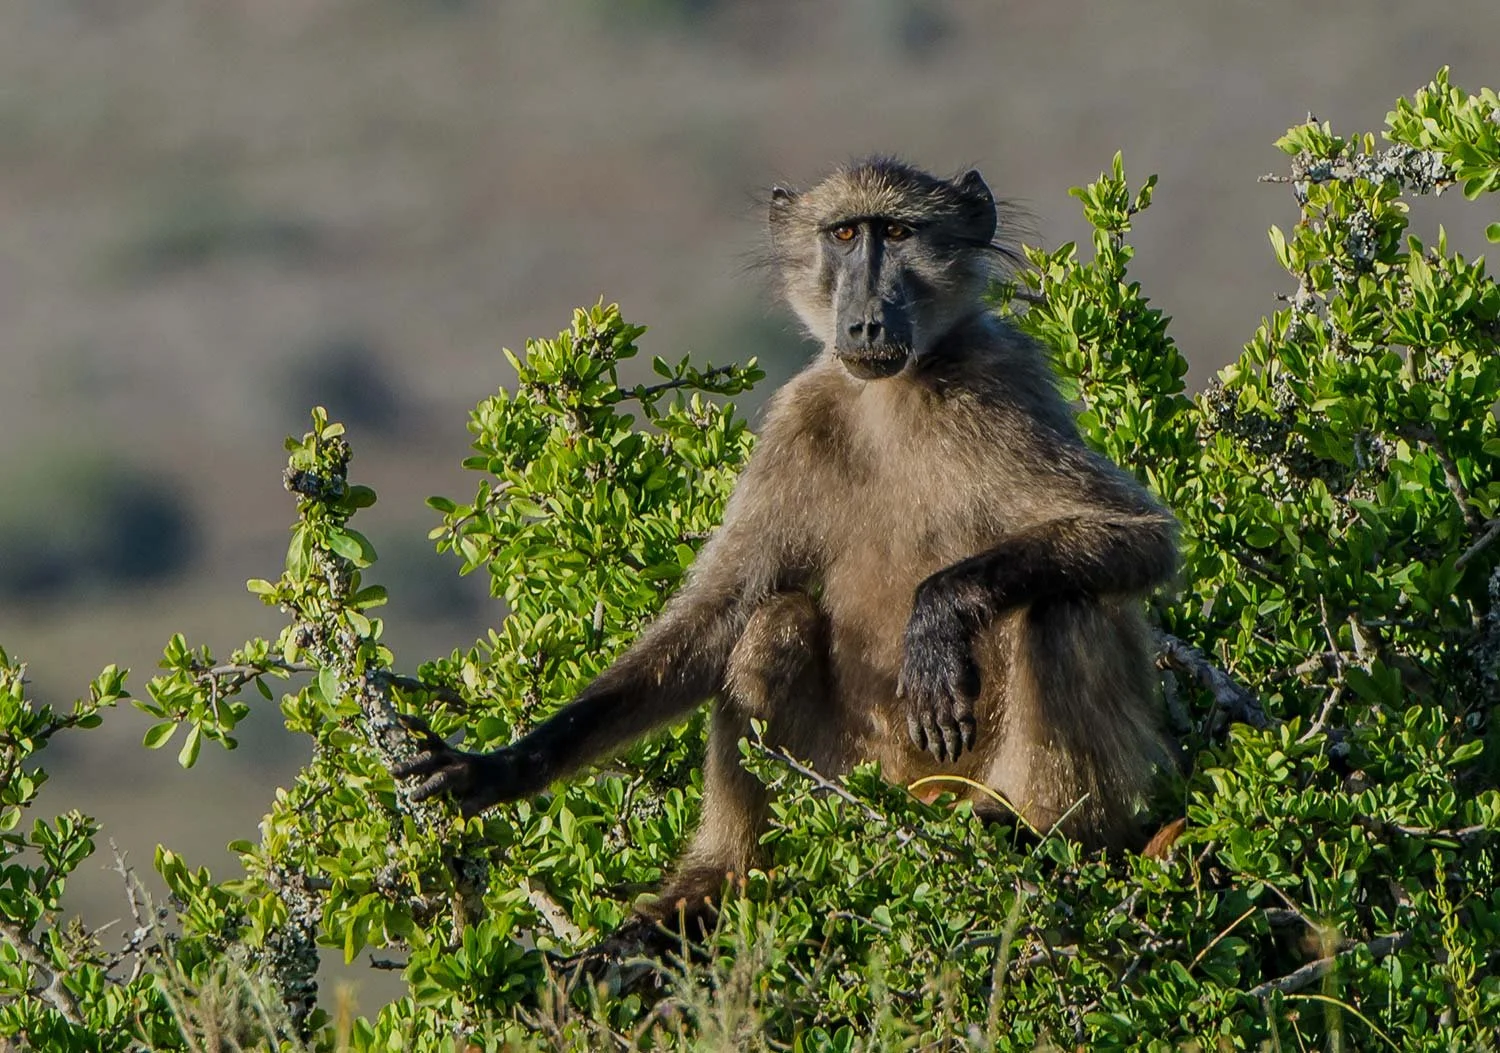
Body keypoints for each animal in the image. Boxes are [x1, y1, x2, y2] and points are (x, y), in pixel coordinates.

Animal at [394, 157, 1179, 936]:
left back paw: (1038, 830)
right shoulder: (797, 421)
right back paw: (717, 882)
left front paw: (936, 618)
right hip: (842, 782)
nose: (864, 322)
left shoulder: (1006, 382)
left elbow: (1139, 534)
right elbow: (719, 611)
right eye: (843, 234)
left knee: (1061, 604)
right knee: (774, 620)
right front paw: (496, 768)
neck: (893, 392)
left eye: (898, 233)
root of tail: (913, 796)